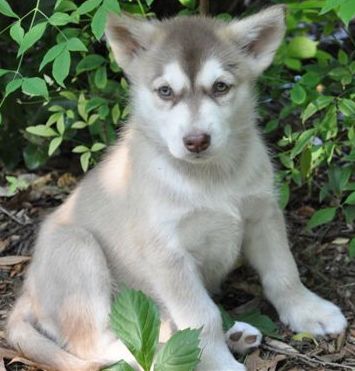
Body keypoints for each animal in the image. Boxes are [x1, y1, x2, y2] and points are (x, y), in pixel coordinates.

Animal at [6, 6, 348, 371]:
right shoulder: (168, 254)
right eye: (165, 91)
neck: (210, 178)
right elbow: (201, 317)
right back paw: (165, 351)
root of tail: (27, 294)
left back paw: (234, 335)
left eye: (221, 86)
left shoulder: (263, 215)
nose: (196, 141)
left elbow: (283, 272)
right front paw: (219, 364)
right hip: (76, 248)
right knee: (95, 344)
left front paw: (308, 311)